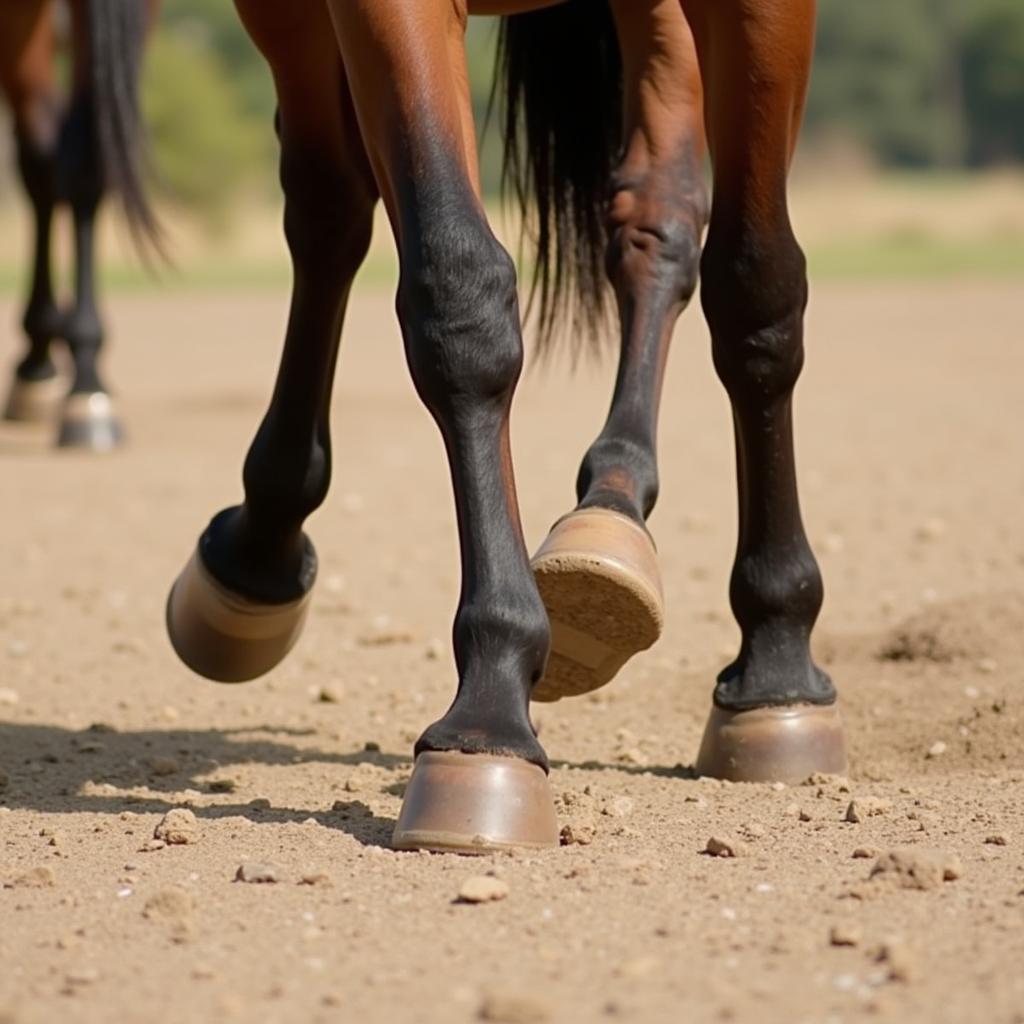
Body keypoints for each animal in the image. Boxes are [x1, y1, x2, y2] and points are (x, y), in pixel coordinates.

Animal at [146, 0, 847, 851]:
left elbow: (757, 289)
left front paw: (779, 662)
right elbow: (458, 294)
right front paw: (491, 707)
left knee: (660, 216)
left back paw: (609, 524)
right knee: (330, 205)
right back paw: (261, 554)